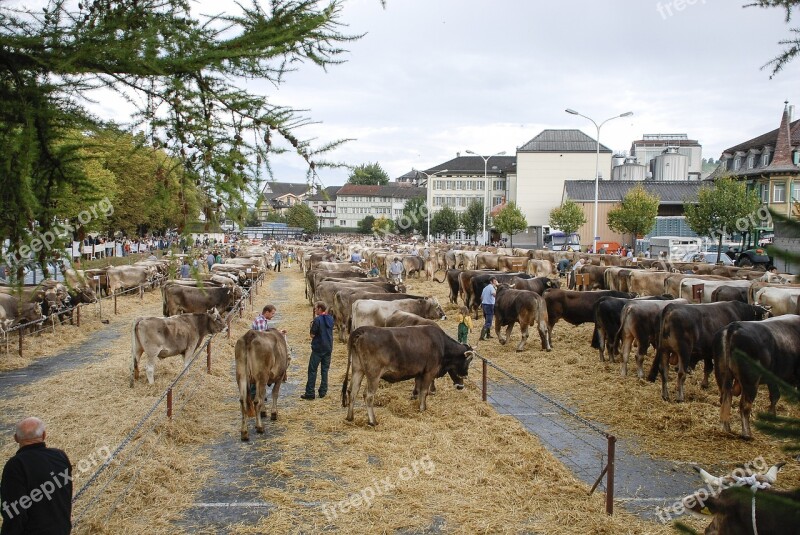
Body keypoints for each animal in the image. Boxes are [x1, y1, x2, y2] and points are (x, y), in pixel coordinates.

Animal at [340, 326, 476, 428]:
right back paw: (373, 421)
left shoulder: (420, 373)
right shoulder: (429, 372)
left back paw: (350, 417)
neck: (442, 344)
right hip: (374, 375)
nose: (461, 385)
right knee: (368, 396)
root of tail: (363, 330)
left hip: (358, 370)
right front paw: (423, 409)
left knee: (352, 391)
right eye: (468, 361)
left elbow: (419, 390)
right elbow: (424, 391)